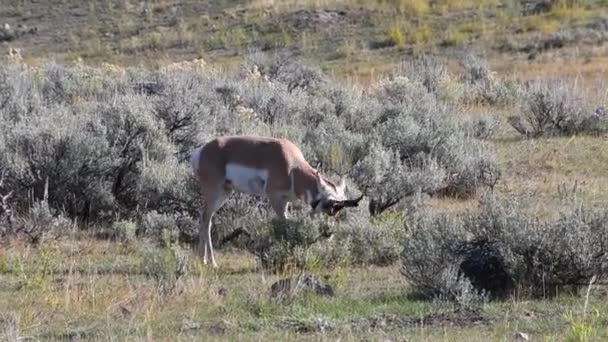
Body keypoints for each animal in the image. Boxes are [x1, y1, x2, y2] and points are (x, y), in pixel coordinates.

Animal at [190, 134, 360, 268]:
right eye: (328, 204)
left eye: (338, 210)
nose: (329, 234)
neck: (292, 167)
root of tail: (201, 151)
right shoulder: (275, 198)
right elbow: (284, 224)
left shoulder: (286, 201)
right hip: (215, 192)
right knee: (206, 219)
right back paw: (211, 262)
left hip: (224, 193)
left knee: (205, 219)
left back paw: (202, 260)